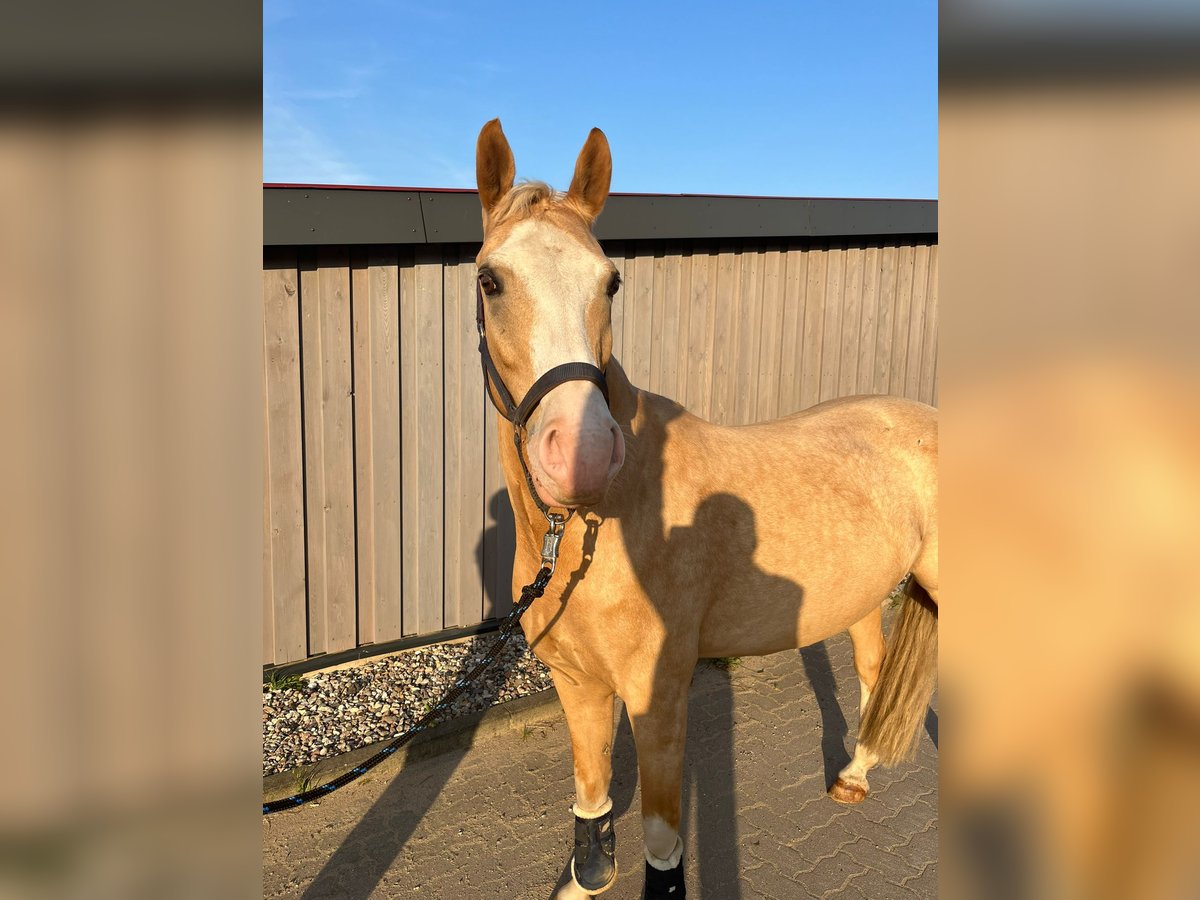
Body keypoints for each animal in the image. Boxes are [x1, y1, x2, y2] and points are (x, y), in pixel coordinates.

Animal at [472, 116, 940, 897]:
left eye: (611, 281)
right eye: (490, 280)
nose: (582, 455)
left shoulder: (658, 699)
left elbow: (664, 841)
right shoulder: (577, 685)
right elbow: (592, 809)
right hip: (862, 596)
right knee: (875, 675)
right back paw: (852, 777)